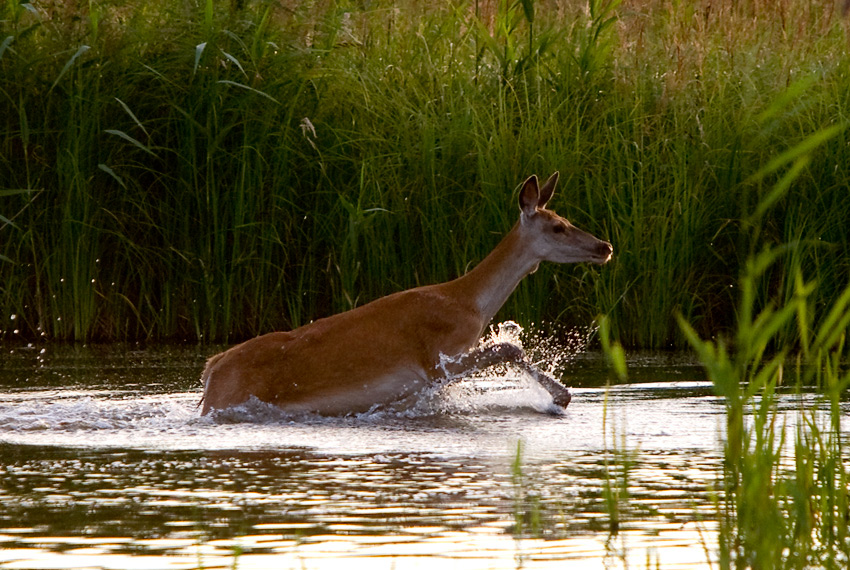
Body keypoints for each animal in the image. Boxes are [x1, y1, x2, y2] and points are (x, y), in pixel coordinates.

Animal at [199, 171, 608, 414]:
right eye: (557, 227)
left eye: (566, 220)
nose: (604, 246)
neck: (468, 304)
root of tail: (211, 370)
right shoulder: (433, 360)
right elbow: (509, 347)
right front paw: (559, 396)